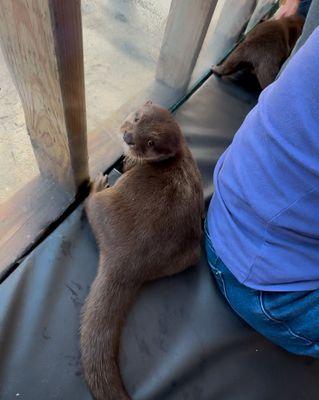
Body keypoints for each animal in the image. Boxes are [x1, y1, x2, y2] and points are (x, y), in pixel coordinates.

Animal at [81, 102, 204, 400]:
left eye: (150, 143)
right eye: (137, 118)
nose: (128, 137)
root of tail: (127, 261)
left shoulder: (133, 163)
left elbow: (126, 166)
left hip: (106, 207)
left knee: (92, 205)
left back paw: (97, 186)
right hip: (189, 254)